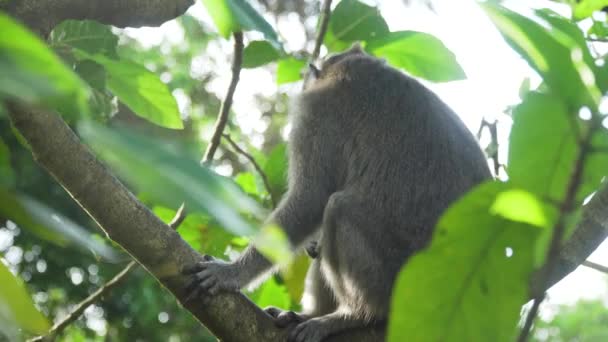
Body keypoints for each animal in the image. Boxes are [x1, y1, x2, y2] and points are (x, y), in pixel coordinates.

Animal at [183, 44, 492, 340]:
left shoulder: (316, 113)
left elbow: (311, 199)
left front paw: (230, 273)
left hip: (396, 281)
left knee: (338, 208)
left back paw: (357, 314)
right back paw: (311, 314)